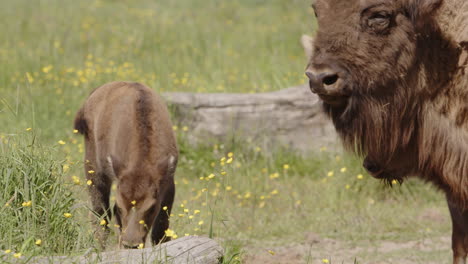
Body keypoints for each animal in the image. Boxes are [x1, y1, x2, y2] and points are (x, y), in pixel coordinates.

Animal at [74, 81, 178, 249]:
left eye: (151, 208)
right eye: (120, 207)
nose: (131, 244)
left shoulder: (168, 182)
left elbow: (161, 226)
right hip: (94, 168)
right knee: (99, 212)